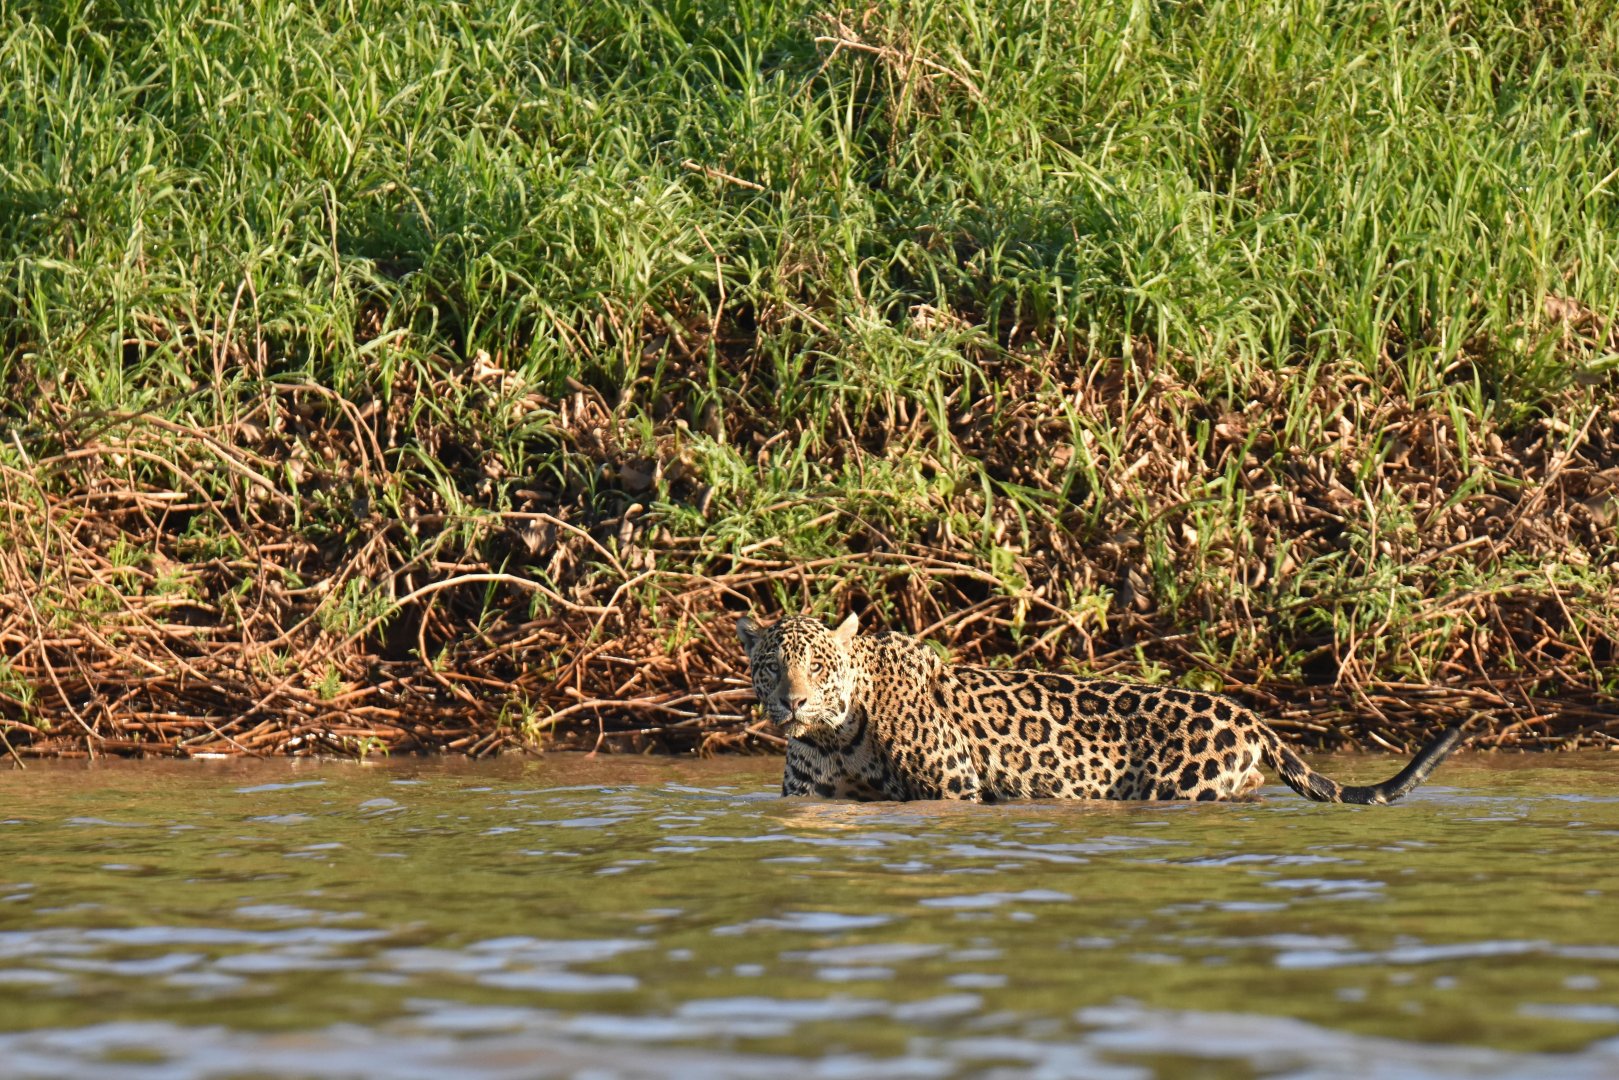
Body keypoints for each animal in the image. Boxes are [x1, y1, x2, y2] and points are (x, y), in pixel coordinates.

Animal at [736, 612, 1465, 804]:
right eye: (771, 666)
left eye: (819, 667)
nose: (793, 702)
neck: (835, 737)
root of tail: (1246, 712)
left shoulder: (955, 789)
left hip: (1184, 786)